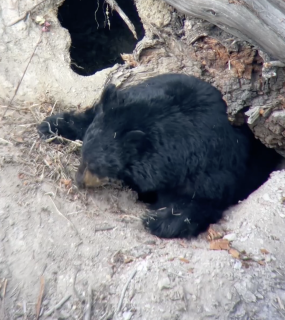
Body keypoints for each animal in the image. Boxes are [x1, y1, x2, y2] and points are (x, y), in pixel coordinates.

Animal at [37, 72, 280, 238]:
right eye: (83, 156)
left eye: (98, 166)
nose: (79, 181)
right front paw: (51, 125)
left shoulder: (213, 166)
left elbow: (201, 200)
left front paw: (159, 221)